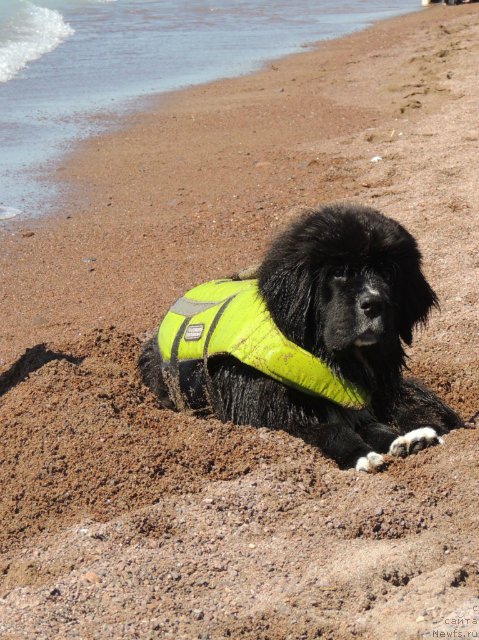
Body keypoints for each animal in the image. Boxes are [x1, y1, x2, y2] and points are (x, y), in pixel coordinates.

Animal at [141, 202, 464, 472]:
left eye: (387, 271)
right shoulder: (274, 415)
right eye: (339, 271)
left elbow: (378, 422)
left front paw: (408, 438)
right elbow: (330, 429)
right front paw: (362, 454)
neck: (330, 358)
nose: (374, 302)